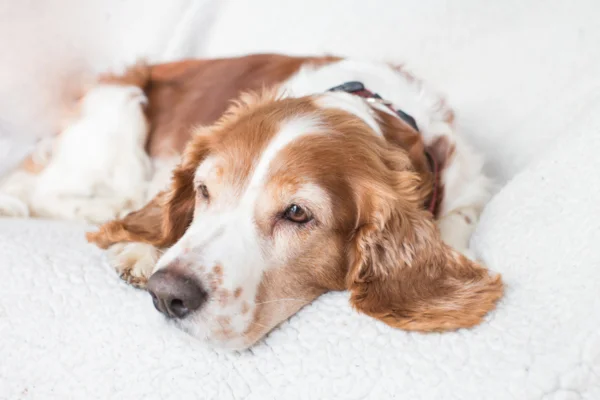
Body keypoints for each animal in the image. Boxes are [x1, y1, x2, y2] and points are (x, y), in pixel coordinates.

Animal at [0, 54, 502, 350]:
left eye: (297, 213)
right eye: (203, 190)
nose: (166, 295)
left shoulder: (469, 185)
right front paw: (143, 247)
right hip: (120, 106)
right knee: (48, 191)